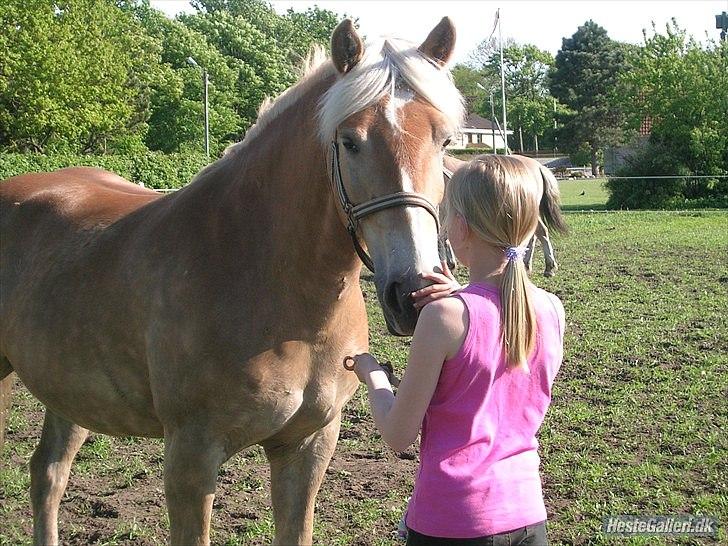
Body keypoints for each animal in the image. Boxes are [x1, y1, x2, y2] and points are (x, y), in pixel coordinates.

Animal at [0, 17, 470, 544]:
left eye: (445, 141)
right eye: (350, 140)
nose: (411, 291)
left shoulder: (308, 446)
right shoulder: (191, 457)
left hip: (70, 391)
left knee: (48, 473)